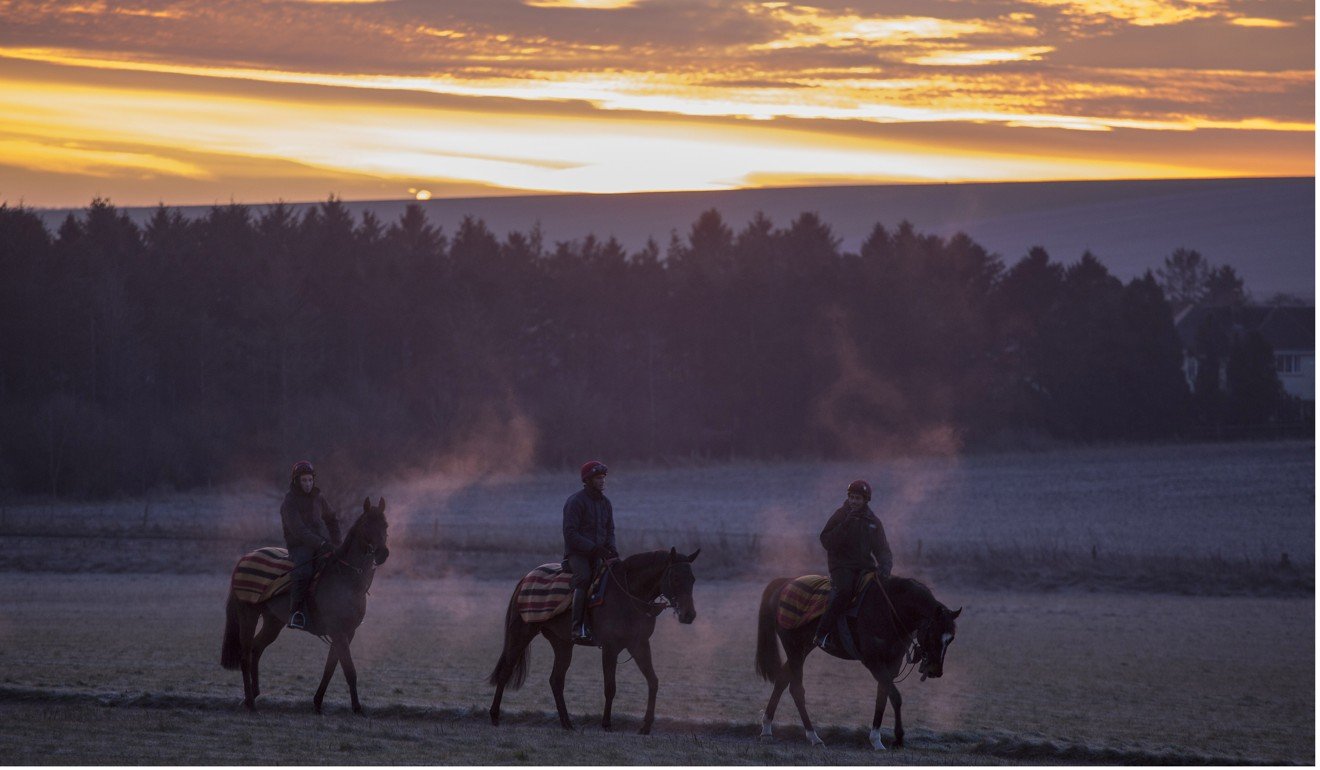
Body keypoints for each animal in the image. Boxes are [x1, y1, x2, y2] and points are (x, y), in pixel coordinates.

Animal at [216, 496, 388, 713]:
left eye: (385, 525)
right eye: (366, 525)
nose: (382, 553)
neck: (345, 578)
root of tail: (245, 558)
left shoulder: (347, 633)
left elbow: (330, 667)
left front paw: (318, 702)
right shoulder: (338, 631)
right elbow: (349, 670)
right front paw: (357, 708)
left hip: (273, 622)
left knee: (256, 648)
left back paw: (254, 694)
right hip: (248, 614)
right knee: (245, 655)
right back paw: (250, 703)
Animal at [488, 549, 702, 734]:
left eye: (692, 579)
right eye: (675, 578)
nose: (689, 615)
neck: (628, 595)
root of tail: (525, 578)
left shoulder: (639, 645)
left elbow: (653, 681)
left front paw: (646, 726)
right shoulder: (610, 648)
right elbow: (610, 687)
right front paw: (606, 723)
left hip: (562, 644)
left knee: (556, 680)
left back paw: (567, 723)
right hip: (521, 634)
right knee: (506, 671)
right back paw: (495, 716)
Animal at [755, 575, 960, 750]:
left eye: (950, 639)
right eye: (933, 634)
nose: (935, 670)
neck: (890, 611)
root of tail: (785, 583)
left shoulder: (892, 663)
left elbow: (883, 695)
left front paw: (877, 739)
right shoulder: (872, 661)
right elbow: (895, 696)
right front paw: (898, 738)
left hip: (803, 648)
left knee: (782, 680)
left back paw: (766, 729)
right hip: (794, 648)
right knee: (796, 689)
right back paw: (813, 736)